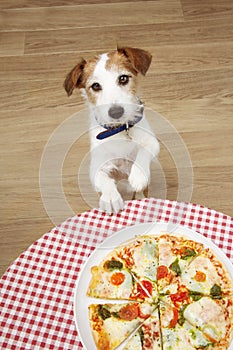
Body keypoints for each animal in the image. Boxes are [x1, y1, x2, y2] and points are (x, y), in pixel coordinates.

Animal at [64, 46, 159, 213]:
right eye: (95, 86)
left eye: (123, 78)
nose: (116, 112)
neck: (119, 130)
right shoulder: (97, 165)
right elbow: (103, 178)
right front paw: (110, 197)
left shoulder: (152, 141)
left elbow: (144, 150)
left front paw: (138, 174)